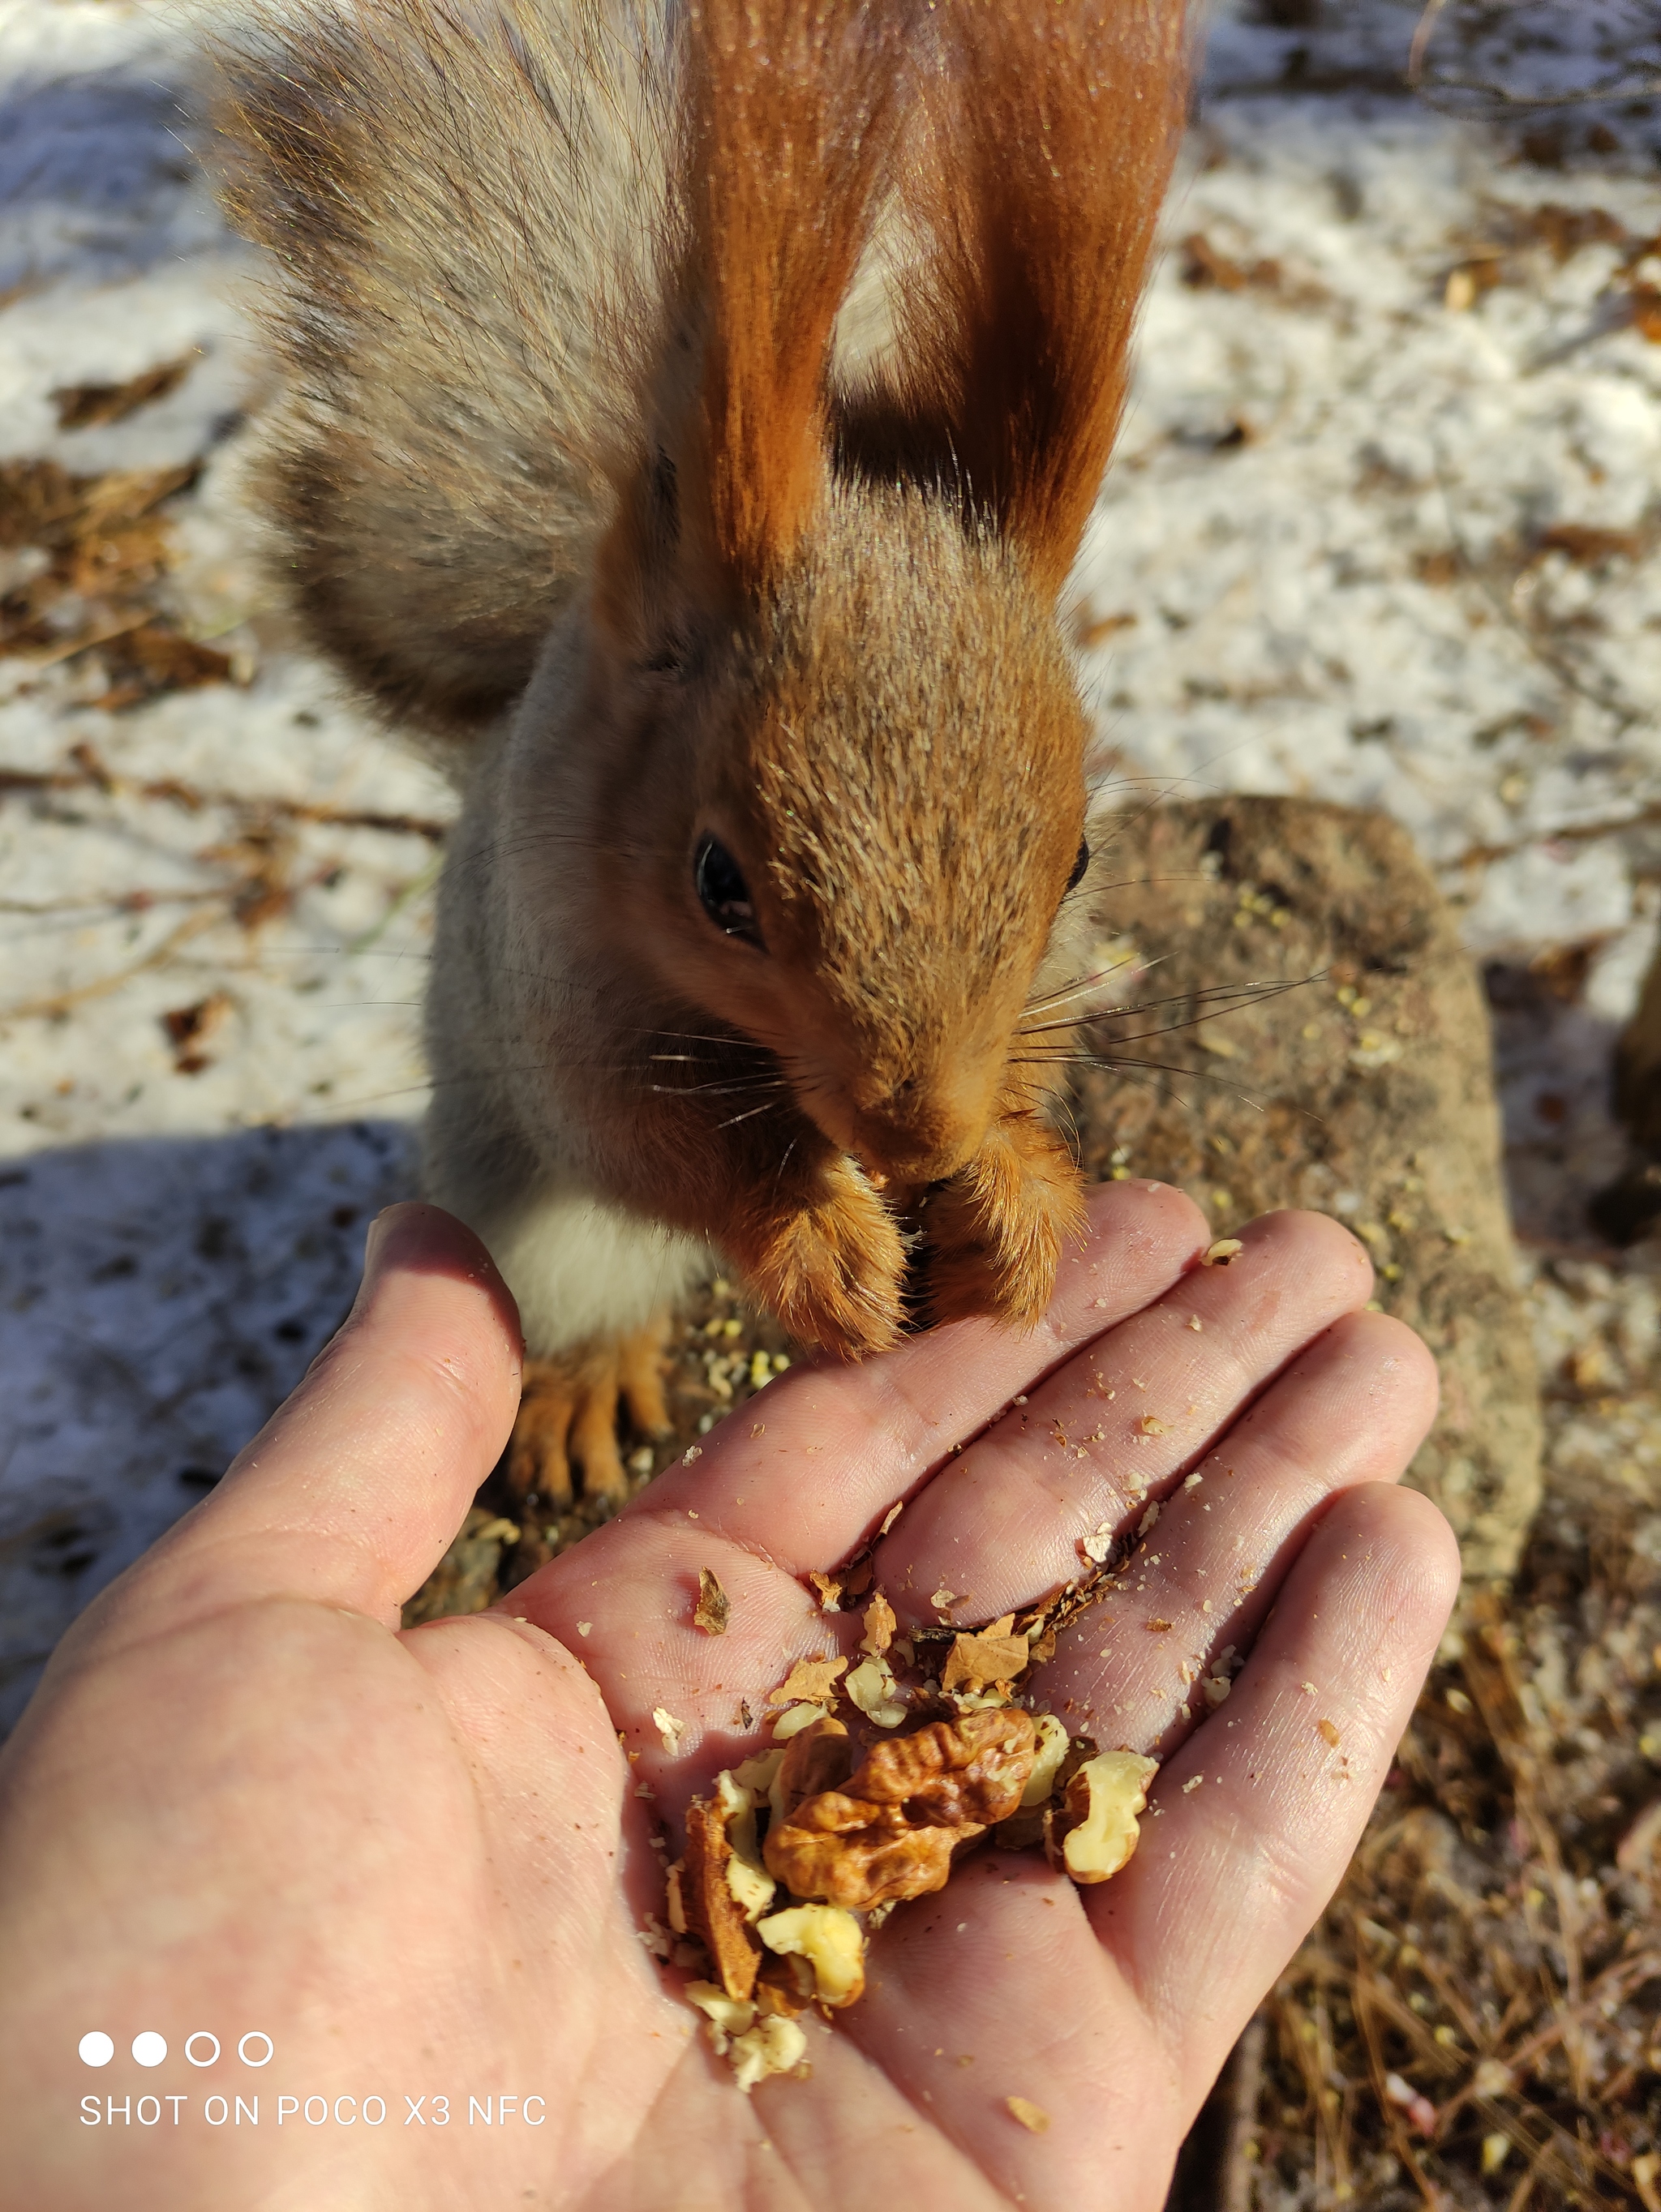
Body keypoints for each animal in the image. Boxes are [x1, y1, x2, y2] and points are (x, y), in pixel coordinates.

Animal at [217, 0, 1194, 1504]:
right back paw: (581, 1384)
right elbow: (639, 1132)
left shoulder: (1060, 974)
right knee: (586, 1279)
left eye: (1081, 855)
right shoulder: (552, 975)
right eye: (716, 884)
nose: (914, 1137)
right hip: (526, 1203)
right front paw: (817, 1244)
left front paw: (1015, 1202)